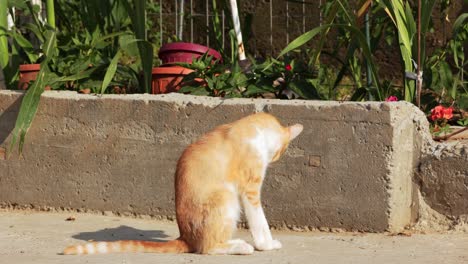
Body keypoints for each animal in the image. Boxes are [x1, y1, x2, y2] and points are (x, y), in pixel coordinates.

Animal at [63, 112, 304, 255]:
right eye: (282, 151)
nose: (275, 158)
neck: (249, 127)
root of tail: (185, 237)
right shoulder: (250, 189)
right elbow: (260, 221)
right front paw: (266, 245)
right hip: (225, 197)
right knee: (208, 248)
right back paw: (240, 246)